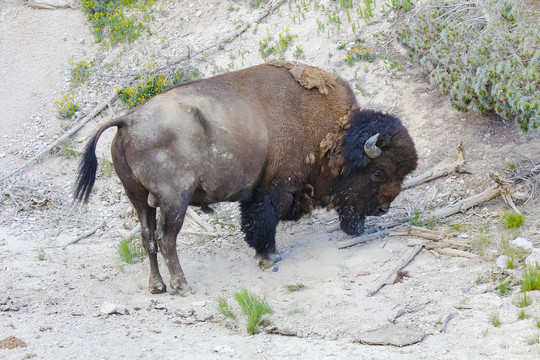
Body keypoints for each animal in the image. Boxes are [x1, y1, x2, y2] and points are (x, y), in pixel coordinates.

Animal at [74, 60, 418, 294]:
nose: (382, 209)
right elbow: (264, 221)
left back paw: (157, 286)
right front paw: (267, 258)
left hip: (138, 199)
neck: (333, 136)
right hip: (174, 199)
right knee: (165, 237)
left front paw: (270, 254)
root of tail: (128, 121)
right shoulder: (273, 189)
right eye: (377, 172)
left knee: (147, 238)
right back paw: (182, 285)